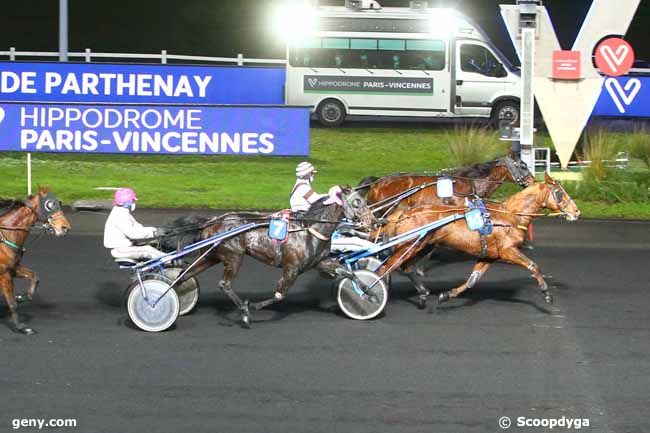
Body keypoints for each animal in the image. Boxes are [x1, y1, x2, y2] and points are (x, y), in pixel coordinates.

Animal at [0, 186, 71, 334]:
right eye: (50, 205)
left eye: (59, 203)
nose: (65, 228)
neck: (7, 234)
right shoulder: (4, 274)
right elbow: (12, 304)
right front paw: (21, 327)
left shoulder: (13, 268)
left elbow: (34, 276)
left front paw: (22, 297)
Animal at [374, 172, 576, 308]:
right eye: (560, 192)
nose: (576, 212)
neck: (510, 216)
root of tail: (403, 213)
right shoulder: (508, 251)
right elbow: (533, 266)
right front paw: (546, 293)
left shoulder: (489, 255)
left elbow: (473, 280)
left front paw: (447, 295)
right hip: (410, 245)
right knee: (386, 268)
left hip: (421, 245)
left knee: (405, 267)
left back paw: (422, 293)